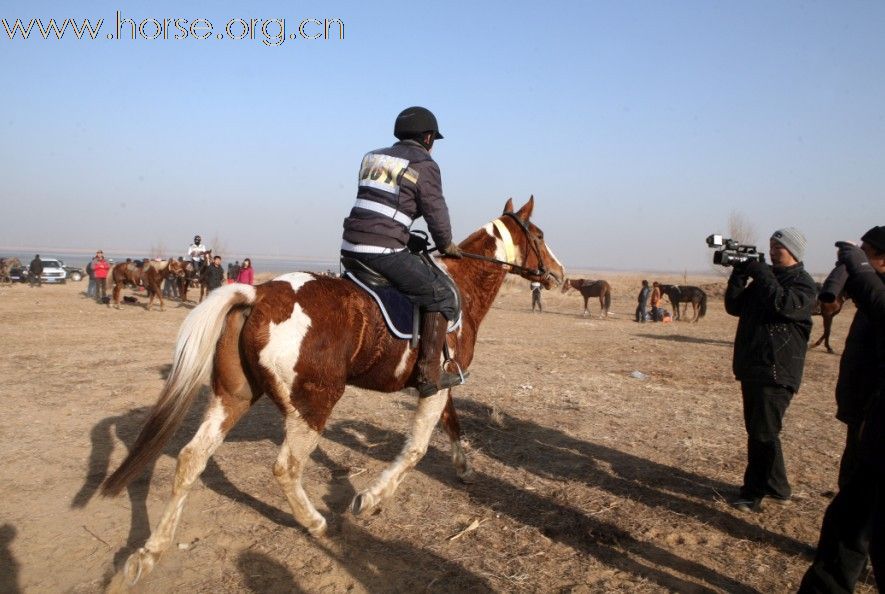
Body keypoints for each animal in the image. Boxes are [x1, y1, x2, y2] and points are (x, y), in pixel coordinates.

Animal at [100, 195, 564, 584]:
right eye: (540, 236)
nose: (558, 274)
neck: (461, 288)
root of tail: (257, 293)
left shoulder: (442, 384)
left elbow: (453, 425)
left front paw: (464, 469)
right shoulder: (433, 387)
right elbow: (416, 449)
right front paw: (370, 499)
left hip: (233, 398)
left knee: (190, 460)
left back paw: (149, 552)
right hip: (313, 405)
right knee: (286, 468)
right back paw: (315, 523)